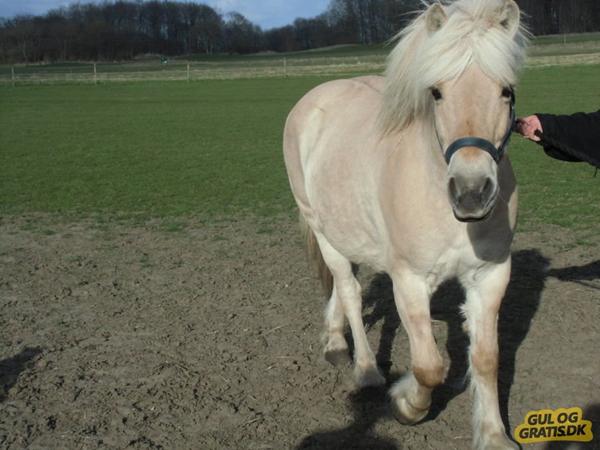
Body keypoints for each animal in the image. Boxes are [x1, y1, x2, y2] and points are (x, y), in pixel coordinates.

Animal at [284, 0, 528, 450]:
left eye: (506, 90)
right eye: (437, 92)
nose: (471, 193)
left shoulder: (490, 276)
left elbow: (486, 359)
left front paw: (492, 435)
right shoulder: (410, 281)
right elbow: (429, 365)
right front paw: (406, 404)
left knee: (345, 284)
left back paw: (334, 339)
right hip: (320, 228)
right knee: (349, 288)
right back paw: (365, 370)